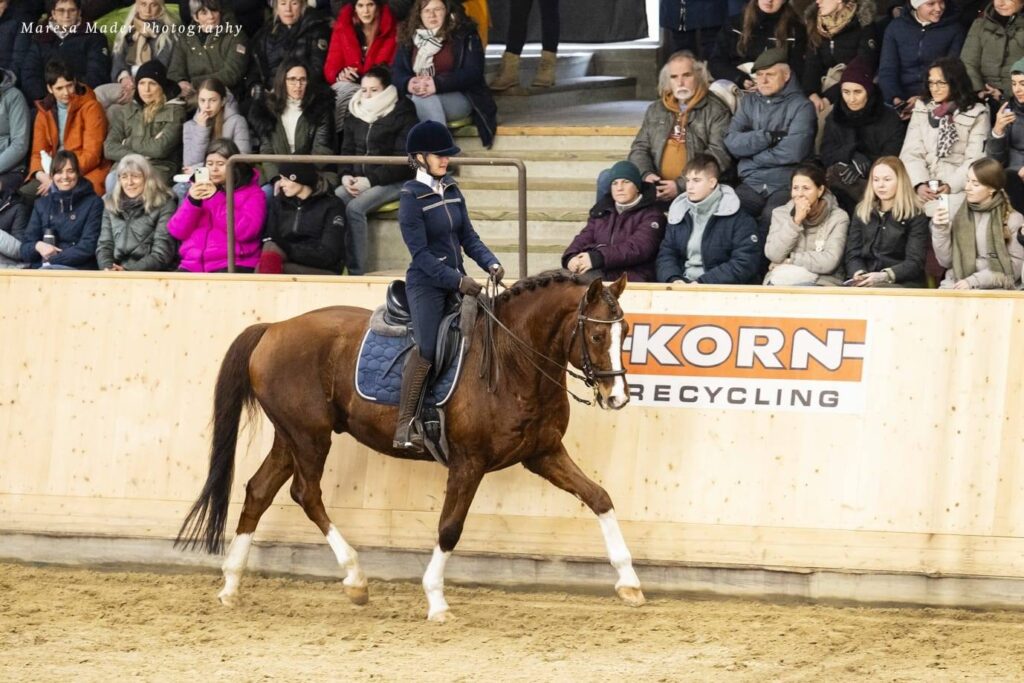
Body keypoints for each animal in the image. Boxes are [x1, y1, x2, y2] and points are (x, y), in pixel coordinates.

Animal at [175, 271, 645, 621]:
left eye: (625, 334)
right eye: (598, 337)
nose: (617, 397)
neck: (512, 361)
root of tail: (274, 328)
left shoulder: (543, 454)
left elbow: (600, 498)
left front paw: (629, 582)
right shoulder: (468, 462)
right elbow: (450, 527)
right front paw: (436, 600)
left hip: (290, 436)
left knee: (259, 491)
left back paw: (231, 585)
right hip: (309, 436)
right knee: (305, 493)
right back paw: (355, 580)